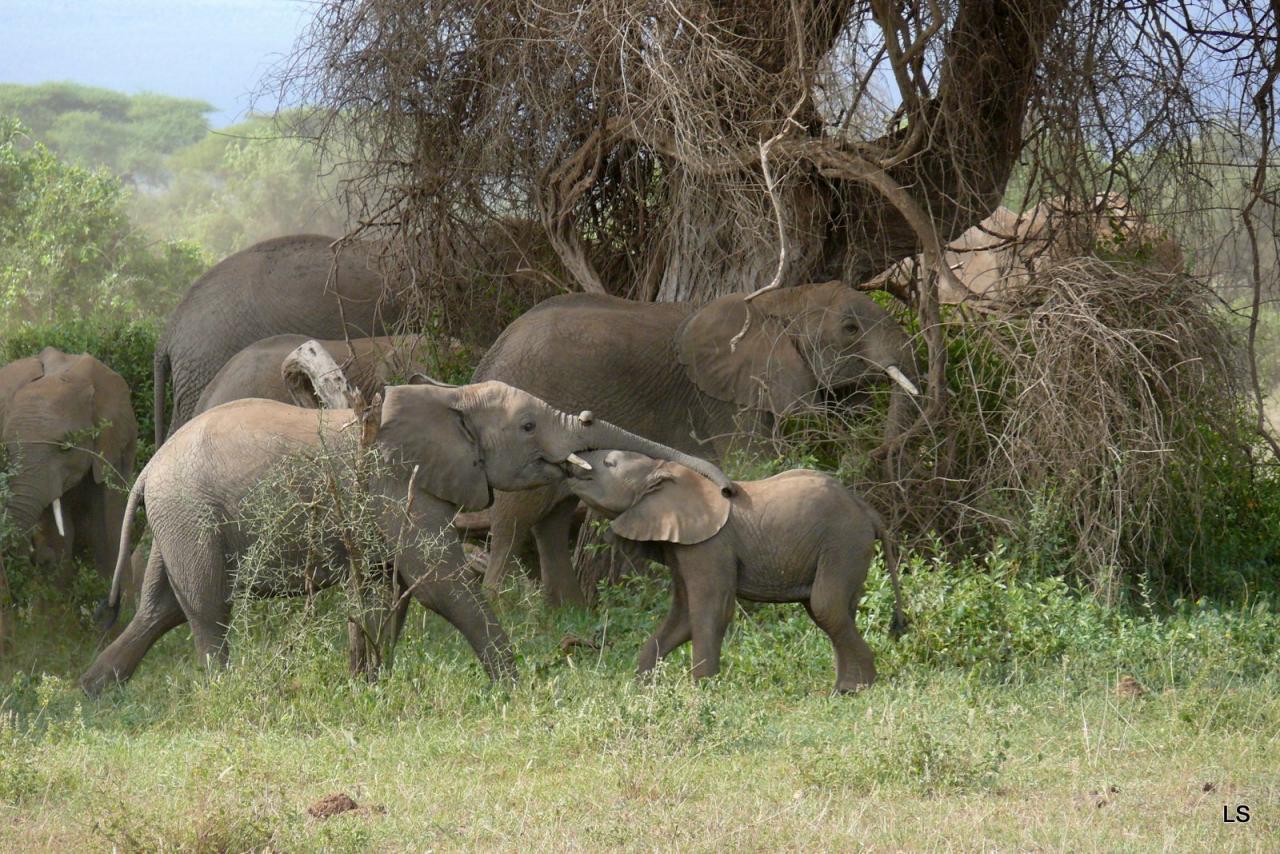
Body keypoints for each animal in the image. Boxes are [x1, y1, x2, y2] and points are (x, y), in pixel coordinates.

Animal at [0, 348, 138, 640]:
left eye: (66, 446)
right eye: (5, 449)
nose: (39, 557)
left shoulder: (113, 446)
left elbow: (108, 529)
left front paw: (116, 634)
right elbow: (60, 533)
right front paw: (55, 634)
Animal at [80, 381, 732, 696]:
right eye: (527, 426)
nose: (726, 489)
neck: (450, 395)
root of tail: (148, 469)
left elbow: (386, 591)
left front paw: (368, 686)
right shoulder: (398, 486)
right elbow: (435, 580)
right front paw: (518, 685)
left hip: (178, 518)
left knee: (162, 608)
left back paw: (94, 693)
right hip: (192, 513)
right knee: (209, 607)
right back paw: (226, 694)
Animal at [471, 280, 921, 606]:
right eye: (850, 329)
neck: (777, 301)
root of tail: (491, 355)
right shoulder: (722, 400)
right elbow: (754, 462)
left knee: (553, 518)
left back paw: (569, 615)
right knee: (516, 517)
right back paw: (506, 609)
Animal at [565, 450, 906, 691]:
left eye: (609, 463)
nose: (567, 468)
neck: (662, 469)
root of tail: (868, 511)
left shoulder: (710, 545)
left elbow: (711, 609)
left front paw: (702, 692)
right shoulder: (681, 545)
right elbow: (683, 616)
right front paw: (642, 688)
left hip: (843, 542)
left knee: (826, 607)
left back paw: (856, 689)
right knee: (835, 610)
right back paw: (845, 689)